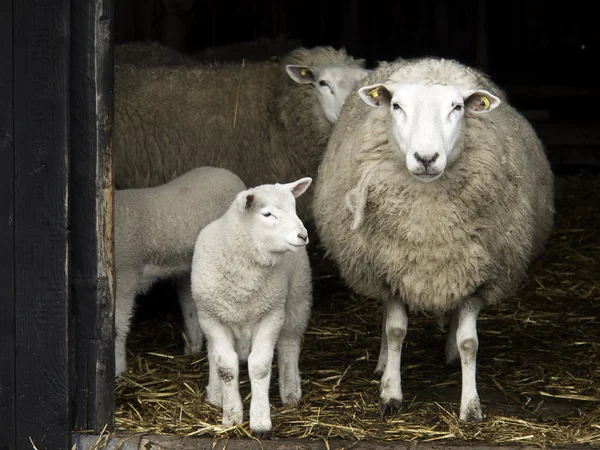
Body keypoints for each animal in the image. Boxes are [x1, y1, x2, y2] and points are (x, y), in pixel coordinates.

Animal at [115, 165, 246, 376]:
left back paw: (242, 354)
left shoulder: (125, 273)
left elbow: (117, 328)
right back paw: (193, 349)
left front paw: (117, 369)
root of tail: (230, 174)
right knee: (191, 306)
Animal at [191, 178, 314, 438]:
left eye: (294, 208)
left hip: (298, 297)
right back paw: (215, 395)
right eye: (267, 214)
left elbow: (259, 366)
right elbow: (225, 366)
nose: (303, 235)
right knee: (214, 354)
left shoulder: (271, 315)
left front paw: (259, 422)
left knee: (289, 343)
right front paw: (231, 417)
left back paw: (290, 391)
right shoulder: (211, 317)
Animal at [312, 56, 556, 422]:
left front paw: (471, 405)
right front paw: (390, 392)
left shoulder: (478, 274)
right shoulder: (389, 268)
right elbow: (395, 330)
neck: (430, 224)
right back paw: (382, 363)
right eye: (396, 106)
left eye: (457, 107)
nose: (426, 159)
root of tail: (428, 62)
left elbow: (470, 342)